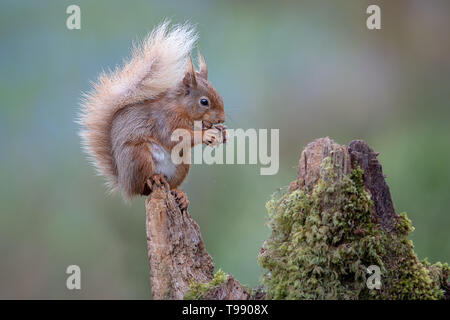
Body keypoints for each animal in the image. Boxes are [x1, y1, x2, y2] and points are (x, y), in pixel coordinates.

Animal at [78, 21, 227, 209]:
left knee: (170, 185)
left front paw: (223, 132)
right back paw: (153, 178)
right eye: (204, 102)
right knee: (144, 186)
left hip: (182, 164)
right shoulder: (165, 120)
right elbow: (176, 138)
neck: (180, 108)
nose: (222, 118)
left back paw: (180, 194)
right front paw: (207, 134)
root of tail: (125, 184)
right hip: (139, 156)